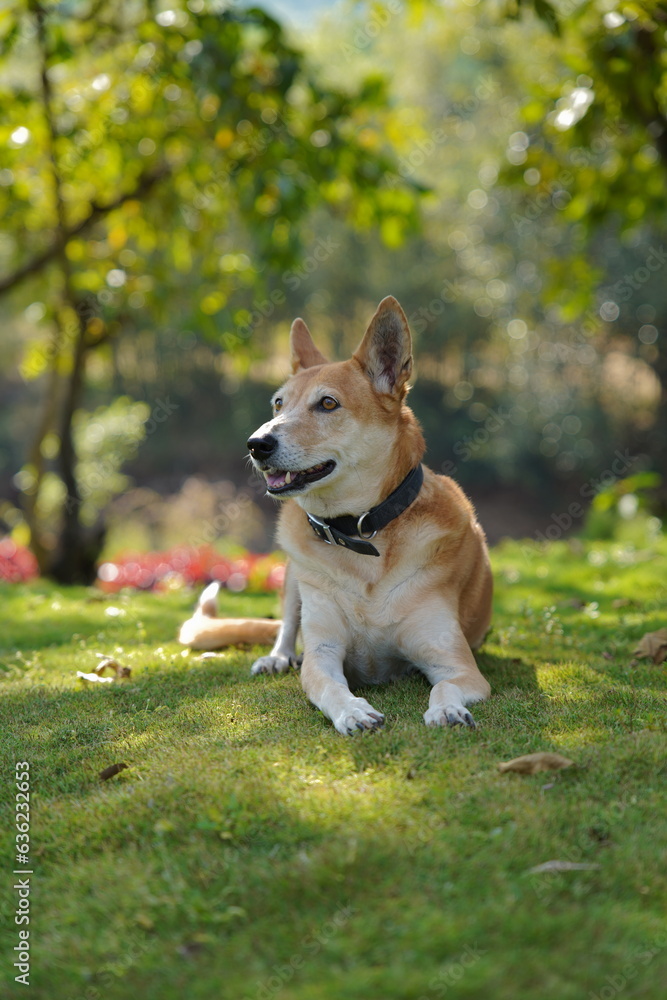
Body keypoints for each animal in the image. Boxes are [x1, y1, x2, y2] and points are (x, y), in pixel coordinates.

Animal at [180, 296, 494, 736]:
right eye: (278, 403)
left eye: (328, 403)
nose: (256, 443)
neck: (361, 532)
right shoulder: (323, 655)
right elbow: (329, 685)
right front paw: (352, 711)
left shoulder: (457, 663)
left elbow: (445, 686)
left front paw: (446, 709)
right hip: (293, 572)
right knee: (287, 627)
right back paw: (278, 656)